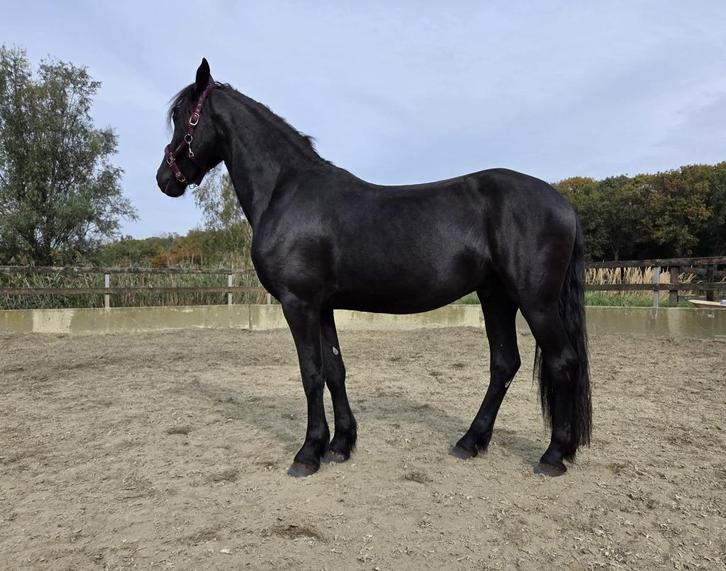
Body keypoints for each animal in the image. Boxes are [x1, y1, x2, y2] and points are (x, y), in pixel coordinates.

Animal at [156, 59, 592, 478]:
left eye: (182, 116)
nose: (164, 180)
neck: (287, 190)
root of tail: (563, 203)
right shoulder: (322, 305)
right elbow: (335, 369)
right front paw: (340, 445)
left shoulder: (298, 303)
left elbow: (311, 372)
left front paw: (308, 453)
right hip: (495, 295)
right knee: (504, 363)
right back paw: (471, 442)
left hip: (535, 301)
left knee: (562, 362)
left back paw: (553, 455)